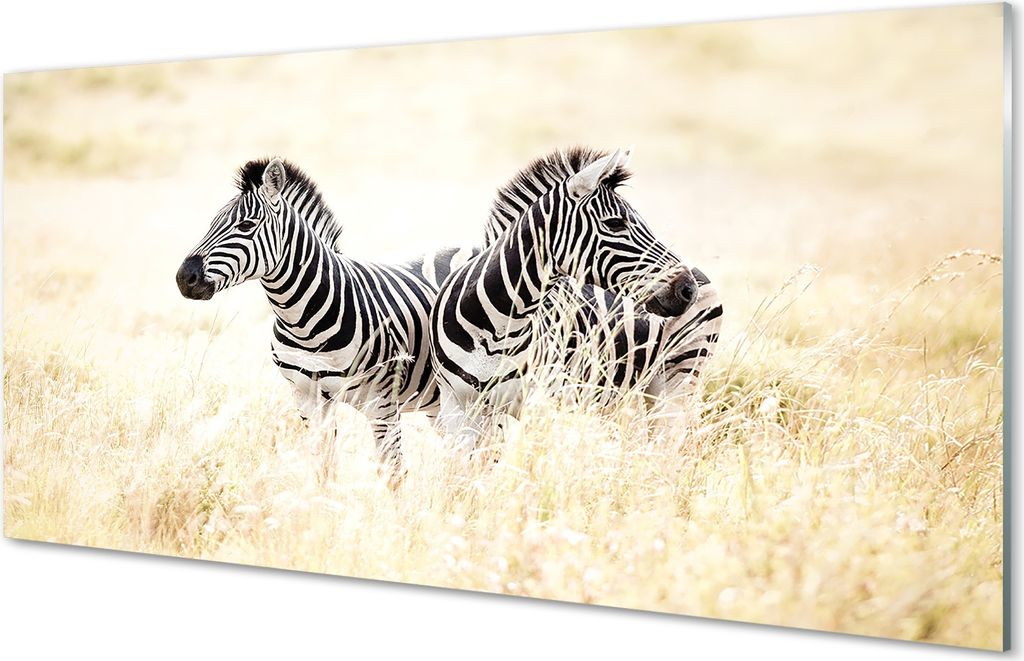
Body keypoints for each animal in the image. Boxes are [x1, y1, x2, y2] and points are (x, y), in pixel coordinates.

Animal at [176, 157, 475, 484]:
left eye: (246, 226)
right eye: (211, 224)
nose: (184, 278)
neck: (303, 323)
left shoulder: (382, 404)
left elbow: (393, 473)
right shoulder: (309, 400)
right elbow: (324, 469)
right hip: (440, 400)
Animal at [430, 146, 708, 446]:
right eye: (615, 223)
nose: (687, 289)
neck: (494, 327)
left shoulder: (534, 401)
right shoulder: (456, 405)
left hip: (679, 378)